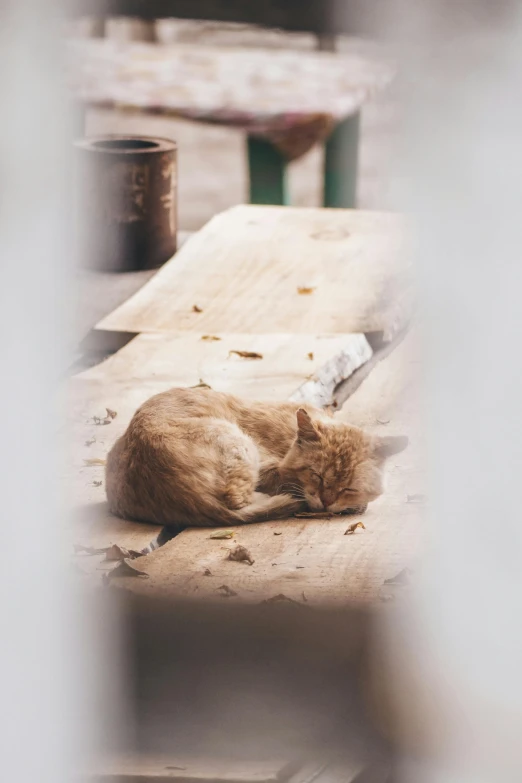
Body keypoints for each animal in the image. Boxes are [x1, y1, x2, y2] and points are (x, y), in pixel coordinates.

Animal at [105, 388, 406, 528]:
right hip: (239, 444)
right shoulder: (273, 471)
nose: (327, 501)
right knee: (237, 502)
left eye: (348, 488)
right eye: (316, 475)